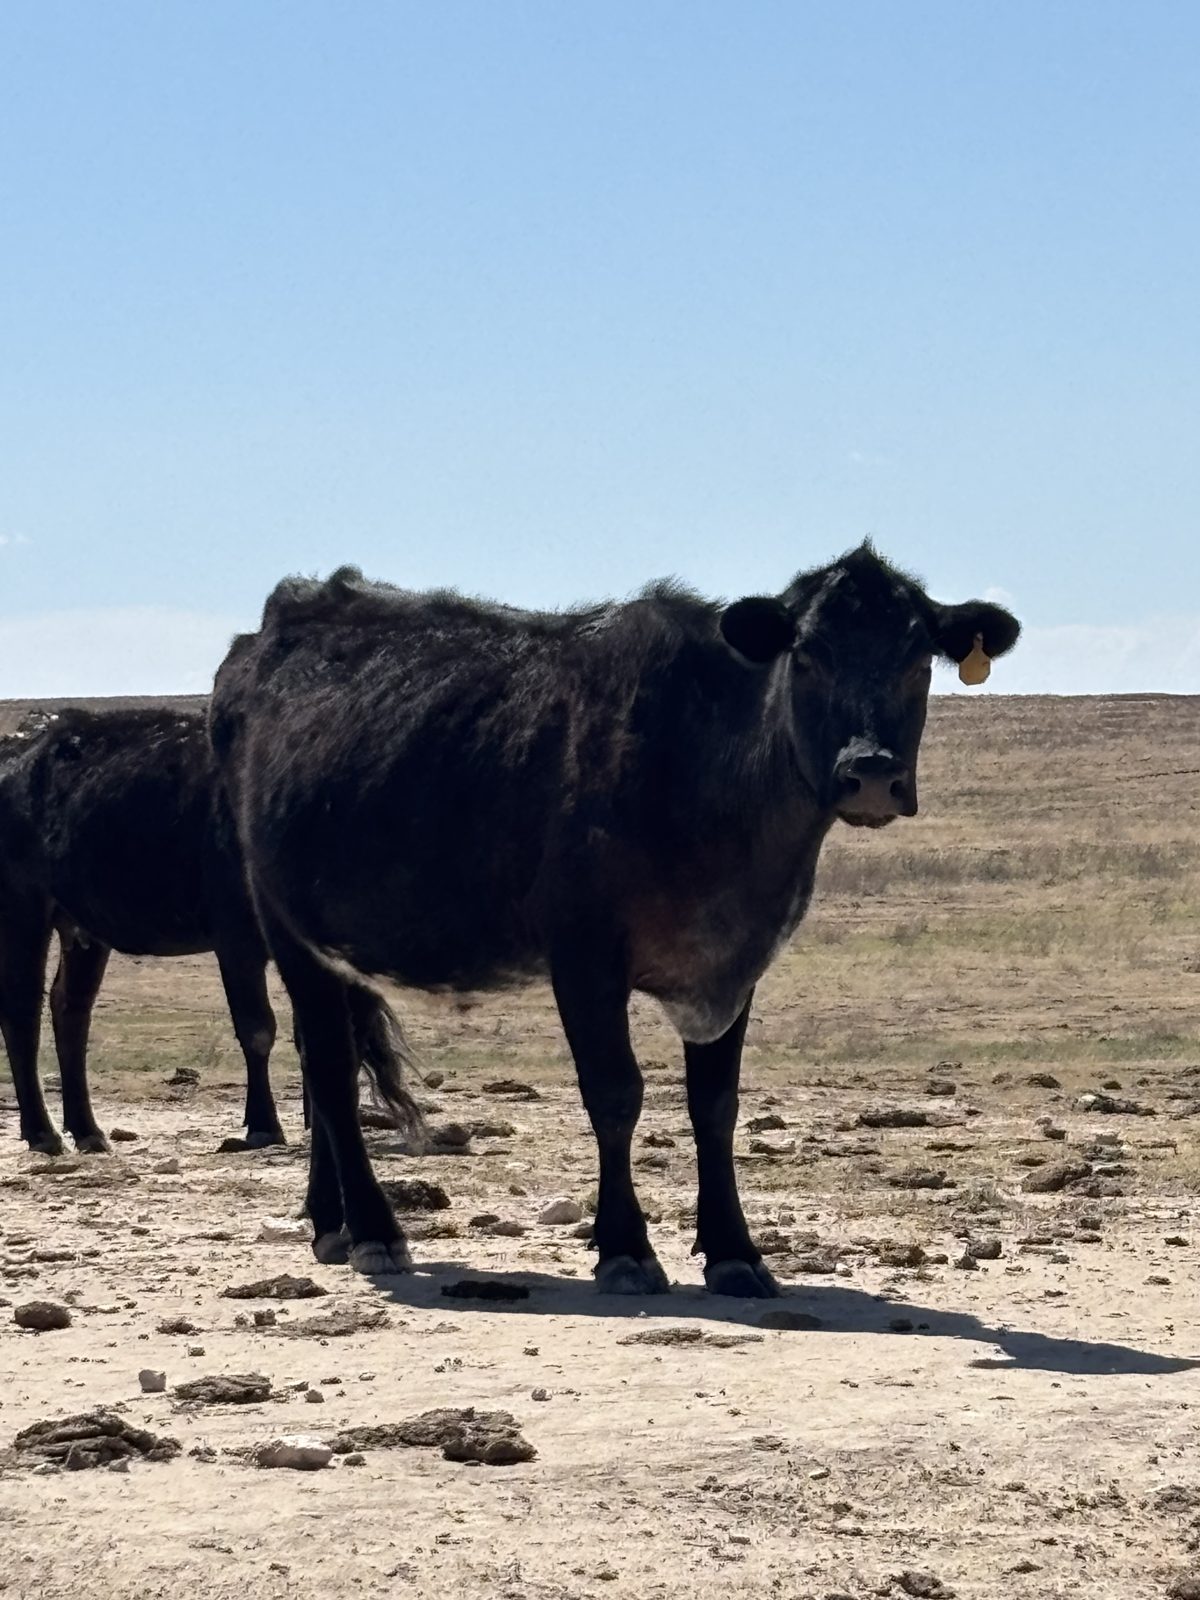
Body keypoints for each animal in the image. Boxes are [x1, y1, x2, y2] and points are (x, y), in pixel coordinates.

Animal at [0, 706, 414, 1156]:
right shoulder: (236, 942)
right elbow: (257, 1030)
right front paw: (263, 1125)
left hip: (81, 927)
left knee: (70, 1011)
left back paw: (88, 1130)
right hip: (22, 909)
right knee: (22, 1014)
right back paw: (42, 1132)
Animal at [211, 542, 1019, 1294]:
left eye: (918, 662)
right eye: (809, 655)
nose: (871, 771)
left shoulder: (734, 960)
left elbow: (715, 1105)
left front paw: (734, 1251)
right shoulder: (585, 956)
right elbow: (615, 1093)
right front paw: (626, 1247)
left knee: (326, 1063)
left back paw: (331, 1221)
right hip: (282, 922)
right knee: (330, 1069)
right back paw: (376, 1231)